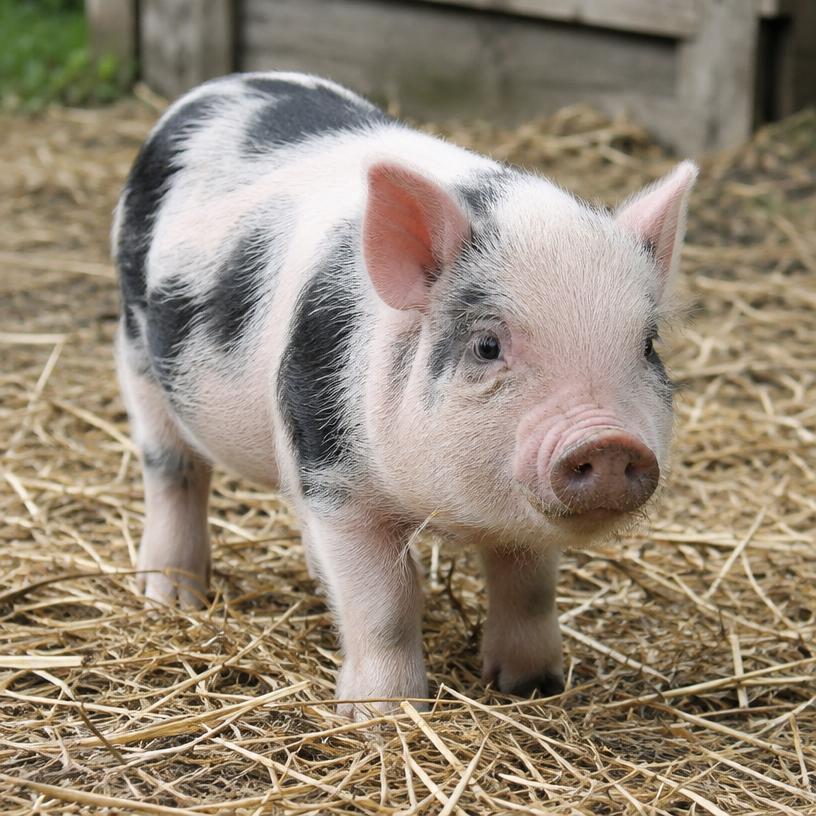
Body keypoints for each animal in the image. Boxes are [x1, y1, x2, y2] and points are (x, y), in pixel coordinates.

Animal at [113, 71, 696, 717]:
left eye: (647, 345)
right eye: (487, 345)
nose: (611, 442)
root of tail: (219, 86)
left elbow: (530, 588)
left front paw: (533, 685)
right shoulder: (331, 473)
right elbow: (386, 602)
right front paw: (381, 715)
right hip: (137, 351)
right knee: (172, 470)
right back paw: (170, 597)